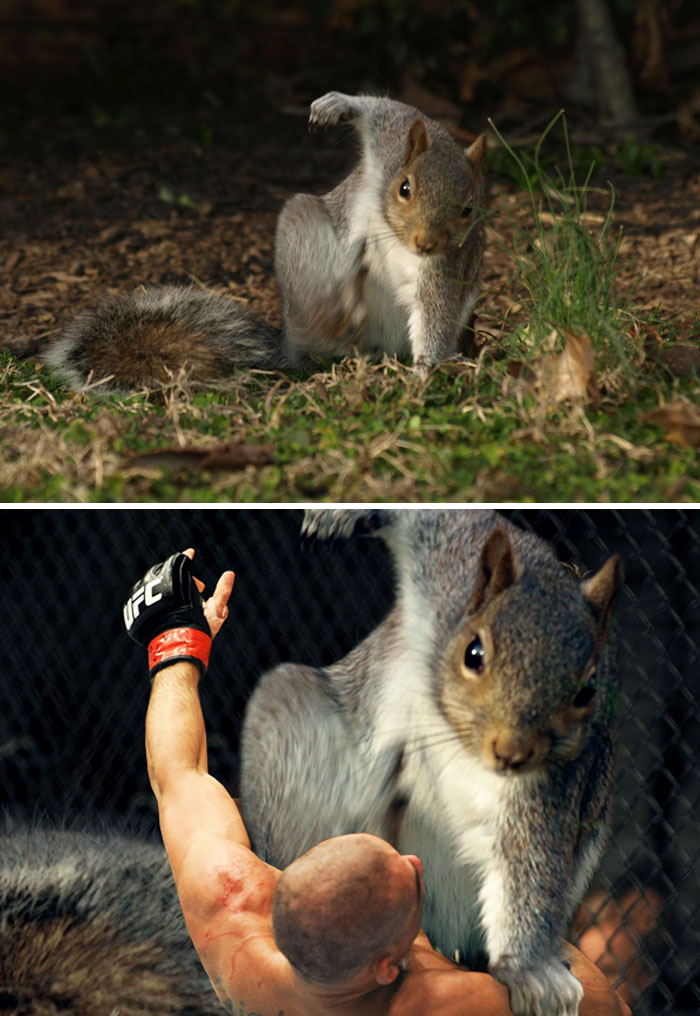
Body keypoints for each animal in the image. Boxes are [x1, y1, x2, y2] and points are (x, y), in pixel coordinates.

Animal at [45, 92, 486, 391]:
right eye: (404, 187)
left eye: (468, 208)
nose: (425, 243)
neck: (396, 234)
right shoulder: (391, 143)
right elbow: (385, 110)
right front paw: (337, 105)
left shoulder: (446, 268)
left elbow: (436, 313)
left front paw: (427, 371)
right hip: (301, 231)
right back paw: (335, 313)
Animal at [240, 508, 622, 1016]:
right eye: (474, 652)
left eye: (587, 692)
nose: (510, 752)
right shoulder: (445, 565)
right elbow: (435, 516)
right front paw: (340, 514)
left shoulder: (549, 782)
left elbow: (528, 863)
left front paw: (531, 973)